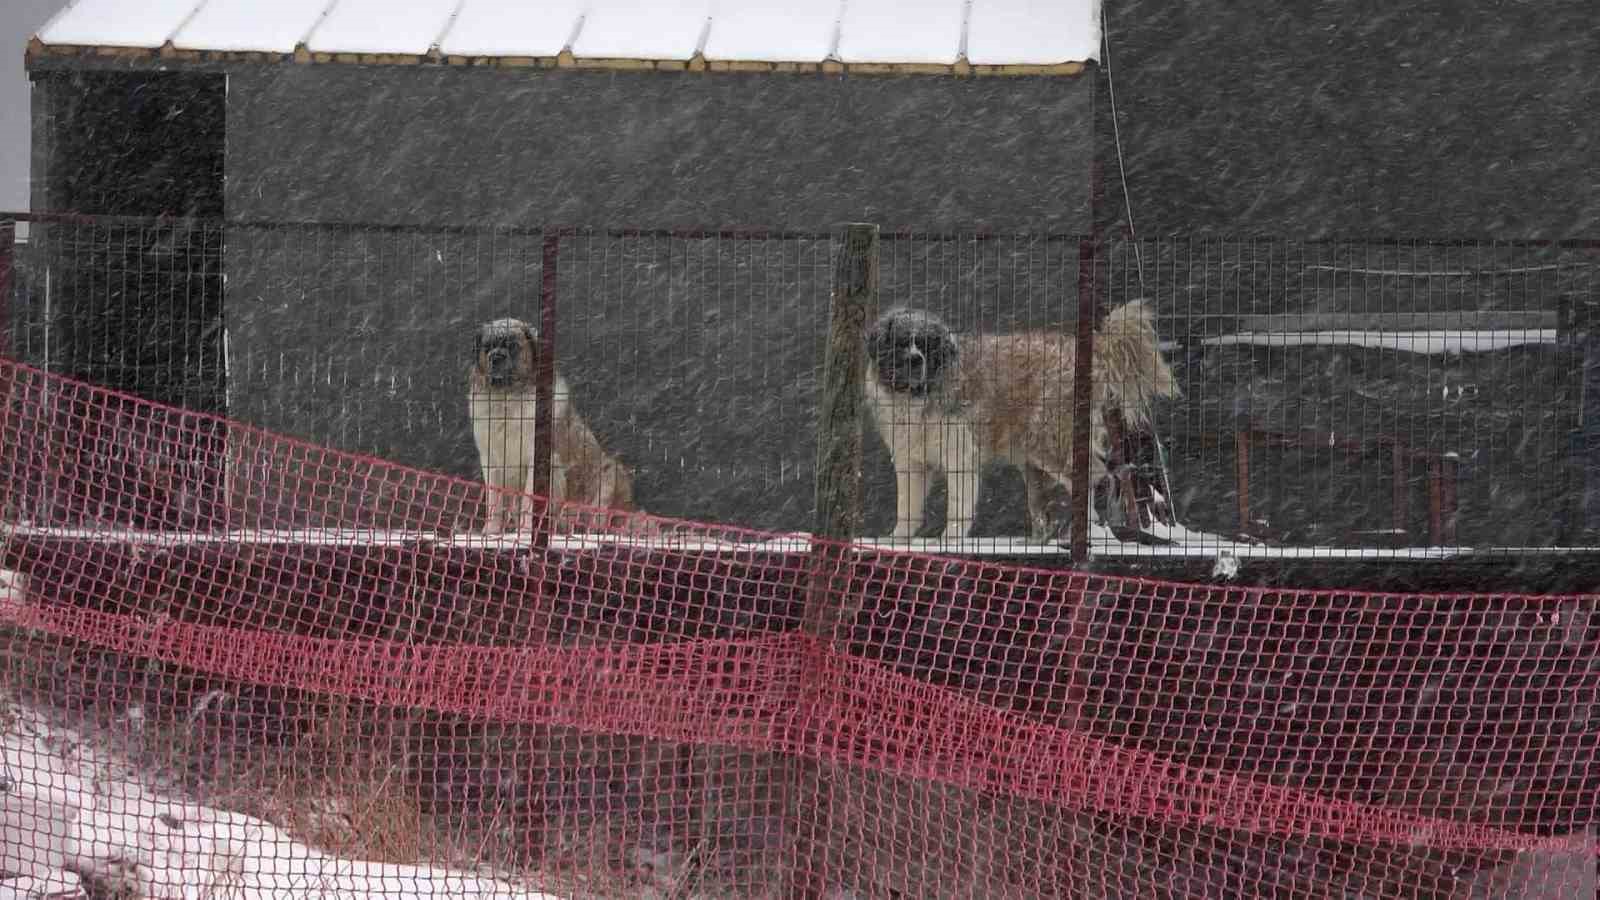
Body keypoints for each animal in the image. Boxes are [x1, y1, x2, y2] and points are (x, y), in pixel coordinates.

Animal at [467, 317, 633, 531]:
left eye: (512, 346)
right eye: (487, 347)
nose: (496, 357)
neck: (507, 399)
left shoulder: (538, 460)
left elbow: (529, 500)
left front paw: (526, 531)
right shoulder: (491, 460)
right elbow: (495, 500)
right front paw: (492, 531)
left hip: (610, 474)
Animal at [870, 301, 1184, 538]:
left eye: (927, 345)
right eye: (901, 343)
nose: (914, 359)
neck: (918, 396)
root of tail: (1090, 351)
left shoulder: (960, 454)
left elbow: (958, 506)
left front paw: (950, 541)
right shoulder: (911, 460)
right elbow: (907, 506)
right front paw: (898, 539)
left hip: (1047, 440)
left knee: (1097, 476)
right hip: (1036, 457)